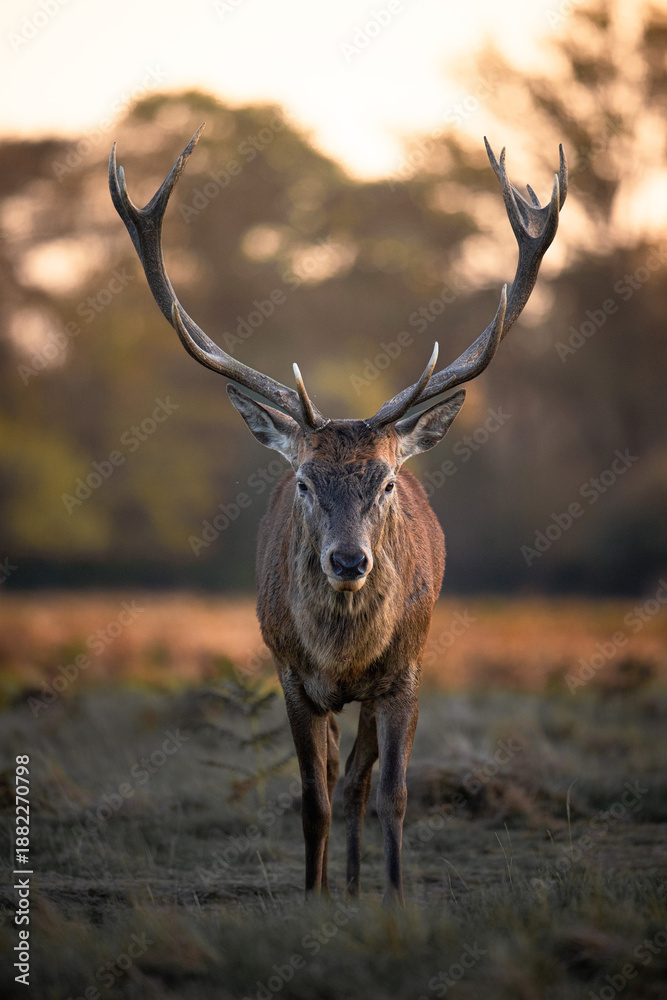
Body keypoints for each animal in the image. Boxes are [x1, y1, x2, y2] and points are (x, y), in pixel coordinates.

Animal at [109, 126, 566, 905]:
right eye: (302, 481)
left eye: (384, 482)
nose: (349, 560)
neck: (344, 656)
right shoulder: (292, 676)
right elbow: (312, 797)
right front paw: (313, 895)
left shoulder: (406, 672)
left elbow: (391, 793)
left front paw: (391, 896)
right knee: (334, 780)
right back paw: (337, 885)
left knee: (358, 781)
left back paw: (357, 887)